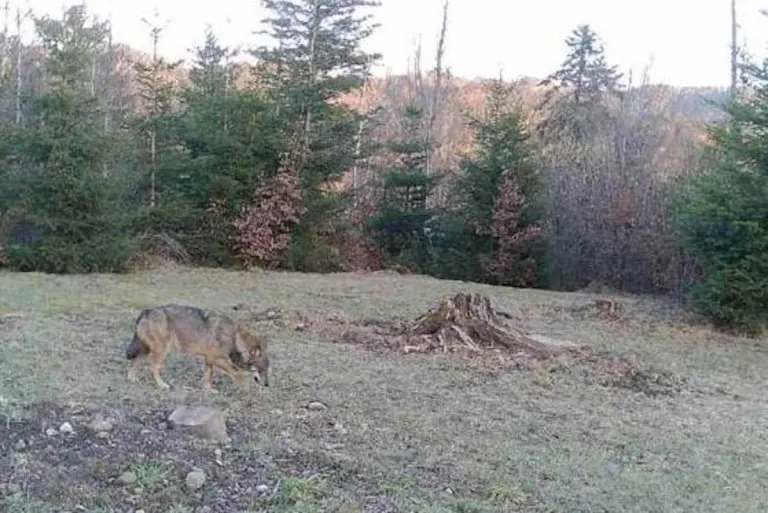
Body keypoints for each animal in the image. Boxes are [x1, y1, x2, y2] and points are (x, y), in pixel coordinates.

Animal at [125, 304, 270, 392]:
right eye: (262, 370)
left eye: (267, 370)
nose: (267, 385)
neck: (235, 338)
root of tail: (146, 311)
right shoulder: (215, 359)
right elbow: (239, 373)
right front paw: (245, 389)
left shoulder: (208, 360)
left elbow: (208, 376)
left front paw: (208, 390)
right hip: (161, 351)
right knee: (153, 367)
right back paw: (162, 385)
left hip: (147, 349)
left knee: (135, 362)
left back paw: (132, 379)